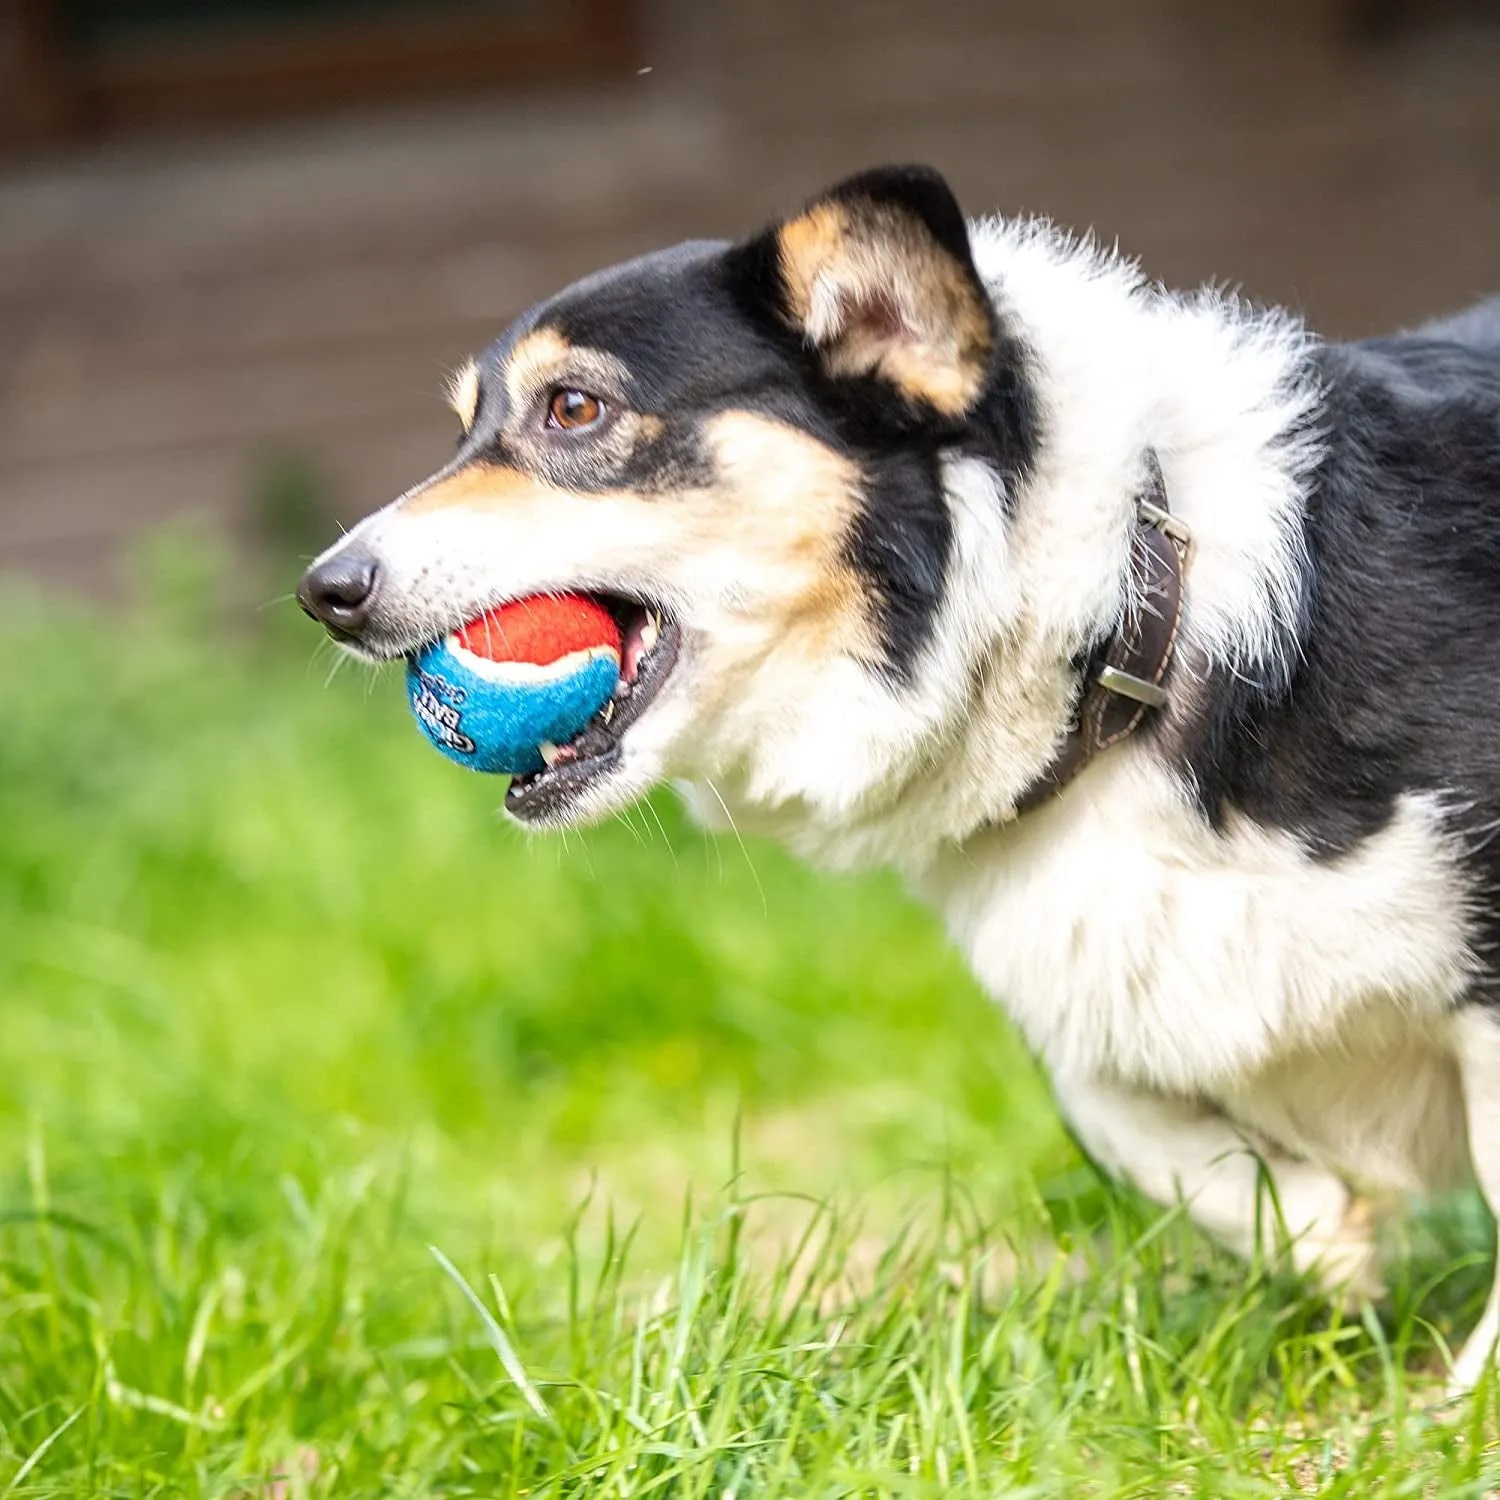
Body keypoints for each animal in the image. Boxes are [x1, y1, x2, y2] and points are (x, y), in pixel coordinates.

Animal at [298, 164, 1500, 1392]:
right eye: (466, 428)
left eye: (574, 409)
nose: (324, 592)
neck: (1125, 617)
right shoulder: (1086, 976)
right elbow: (1124, 1119)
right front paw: (1321, 1233)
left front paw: (1461, 1402)